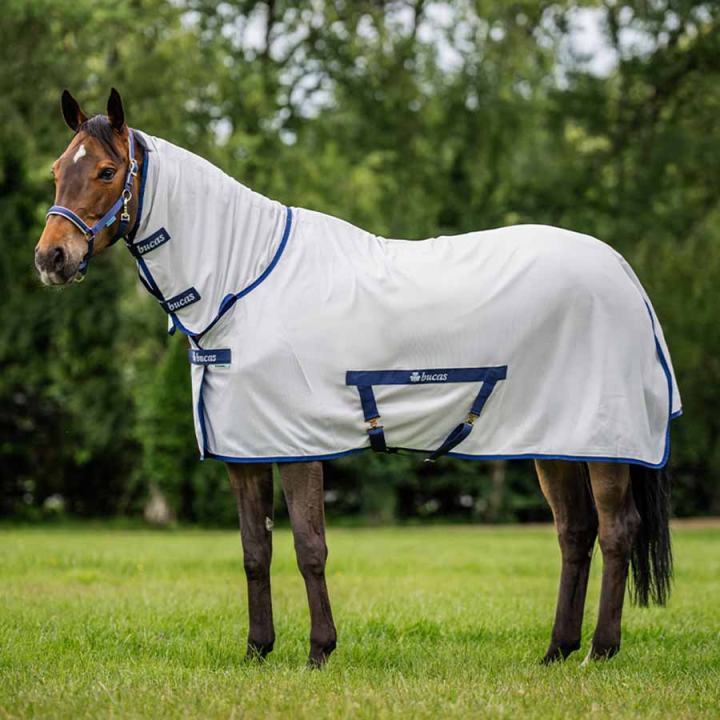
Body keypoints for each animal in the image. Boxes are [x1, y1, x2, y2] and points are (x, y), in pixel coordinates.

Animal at [35, 89, 677, 667]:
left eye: (107, 170)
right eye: (56, 171)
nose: (51, 259)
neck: (243, 281)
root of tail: (623, 272)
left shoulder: (295, 447)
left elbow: (308, 547)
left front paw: (319, 650)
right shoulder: (246, 451)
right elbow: (254, 550)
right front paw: (257, 650)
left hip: (604, 442)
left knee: (616, 530)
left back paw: (600, 650)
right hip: (556, 442)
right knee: (575, 532)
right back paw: (556, 651)